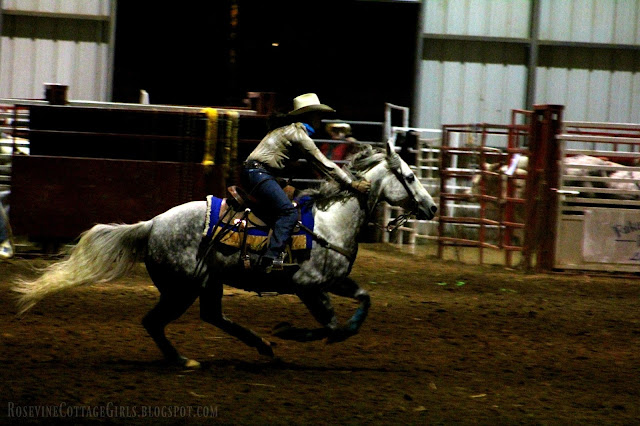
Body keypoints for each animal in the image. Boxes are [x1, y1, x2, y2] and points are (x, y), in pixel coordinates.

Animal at [12, 144, 438, 370]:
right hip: (182, 287)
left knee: (212, 317)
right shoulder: (308, 285)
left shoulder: (336, 280)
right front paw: (290, 331)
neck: (331, 223)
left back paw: (260, 346)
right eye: (410, 177)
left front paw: (294, 335)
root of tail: (152, 224)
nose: (432, 207)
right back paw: (185, 360)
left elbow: (363, 303)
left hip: (207, 283)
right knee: (155, 321)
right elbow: (331, 325)